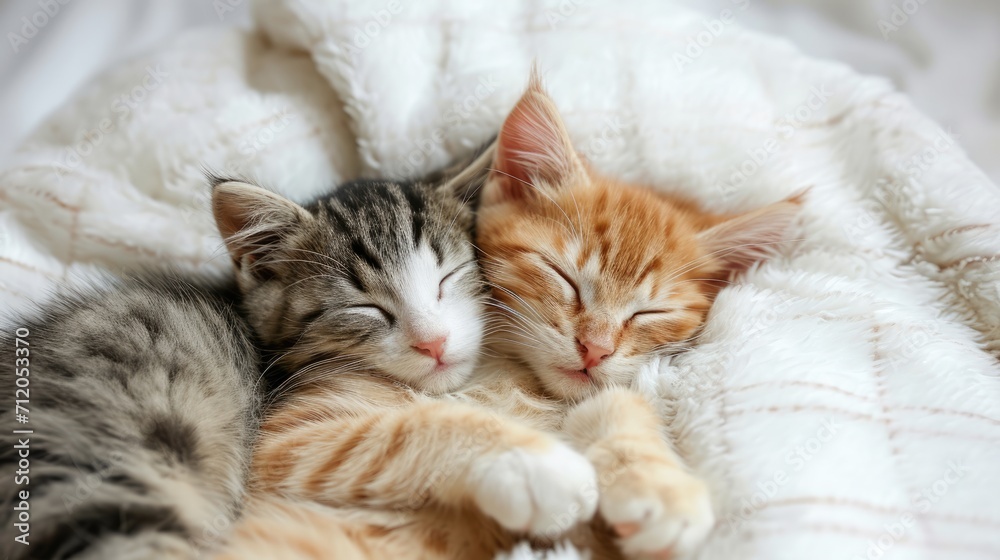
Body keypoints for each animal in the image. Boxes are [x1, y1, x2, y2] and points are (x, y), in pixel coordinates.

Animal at [215, 74, 800, 560]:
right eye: (562, 277)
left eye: (650, 312)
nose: (595, 349)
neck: (507, 378)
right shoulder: (284, 441)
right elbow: (405, 430)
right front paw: (536, 469)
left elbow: (615, 403)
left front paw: (660, 488)